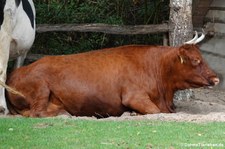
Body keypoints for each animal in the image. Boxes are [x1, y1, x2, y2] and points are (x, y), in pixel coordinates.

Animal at [5, 32, 220, 117]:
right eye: (195, 60)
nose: (216, 78)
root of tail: (14, 73)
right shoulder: (133, 96)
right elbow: (156, 111)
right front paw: (133, 113)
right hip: (41, 87)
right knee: (37, 112)